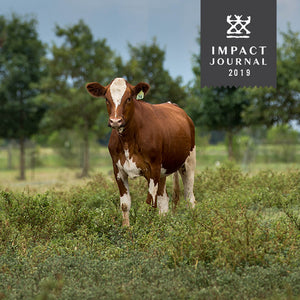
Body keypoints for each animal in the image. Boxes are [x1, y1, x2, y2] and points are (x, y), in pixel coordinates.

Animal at [85, 77, 196, 225]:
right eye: (107, 99)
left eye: (129, 98)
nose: (115, 121)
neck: (128, 141)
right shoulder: (118, 170)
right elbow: (125, 205)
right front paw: (126, 229)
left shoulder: (153, 169)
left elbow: (150, 204)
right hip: (163, 172)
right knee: (164, 200)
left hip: (188, 163)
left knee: (189, 198)